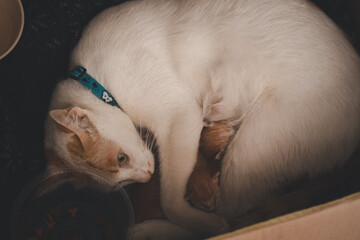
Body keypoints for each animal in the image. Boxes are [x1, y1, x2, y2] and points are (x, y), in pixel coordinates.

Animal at [44, 0, 360, 238]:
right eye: (120, 186)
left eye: (121, 159)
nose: (146, 176)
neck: (94, 76)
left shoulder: (179, 115)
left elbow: (171, 199)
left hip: (245, 156)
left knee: (229, 219)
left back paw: (159, 229)